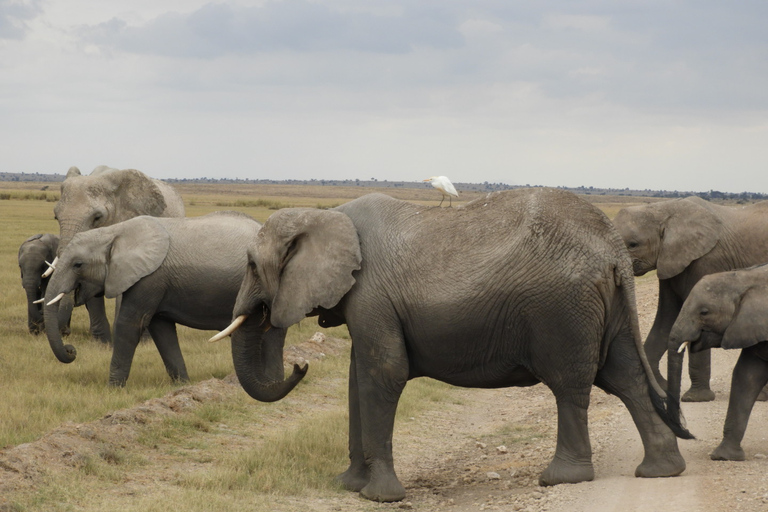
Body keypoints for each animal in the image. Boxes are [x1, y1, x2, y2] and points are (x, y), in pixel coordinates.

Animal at [42, 210, 300, 390]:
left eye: (78, 265)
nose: (71, 350)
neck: (114, 232)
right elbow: (162, 330)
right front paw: (183, 386)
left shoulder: (149, 278)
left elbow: (129, 326)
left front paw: (112, 389)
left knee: (271, 335)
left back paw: (271, 384)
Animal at [213, 190, 692, 502]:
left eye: (251, 265)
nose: (300, 366)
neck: (325, 215)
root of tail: (613, 250)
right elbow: (357, 378)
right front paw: (348, 486)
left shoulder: (372, 297)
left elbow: (383, 375)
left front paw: (379, 497)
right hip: (605, 306)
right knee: (625, 377)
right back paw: (661, 471)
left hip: (563, 308)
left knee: (570, 384)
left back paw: (561, 480)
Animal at [616, 198, 768, 402]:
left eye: (633, 244)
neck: (662, 209)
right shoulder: (670, 261)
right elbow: (665, 320)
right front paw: (660, 389)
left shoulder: (706, 260)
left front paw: (695, 398)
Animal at [664, 264, 768, 460]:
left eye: (704, 312)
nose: (689, 435)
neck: (745, 277)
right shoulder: (750, 327)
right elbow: (745, 377)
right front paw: (723, 456)